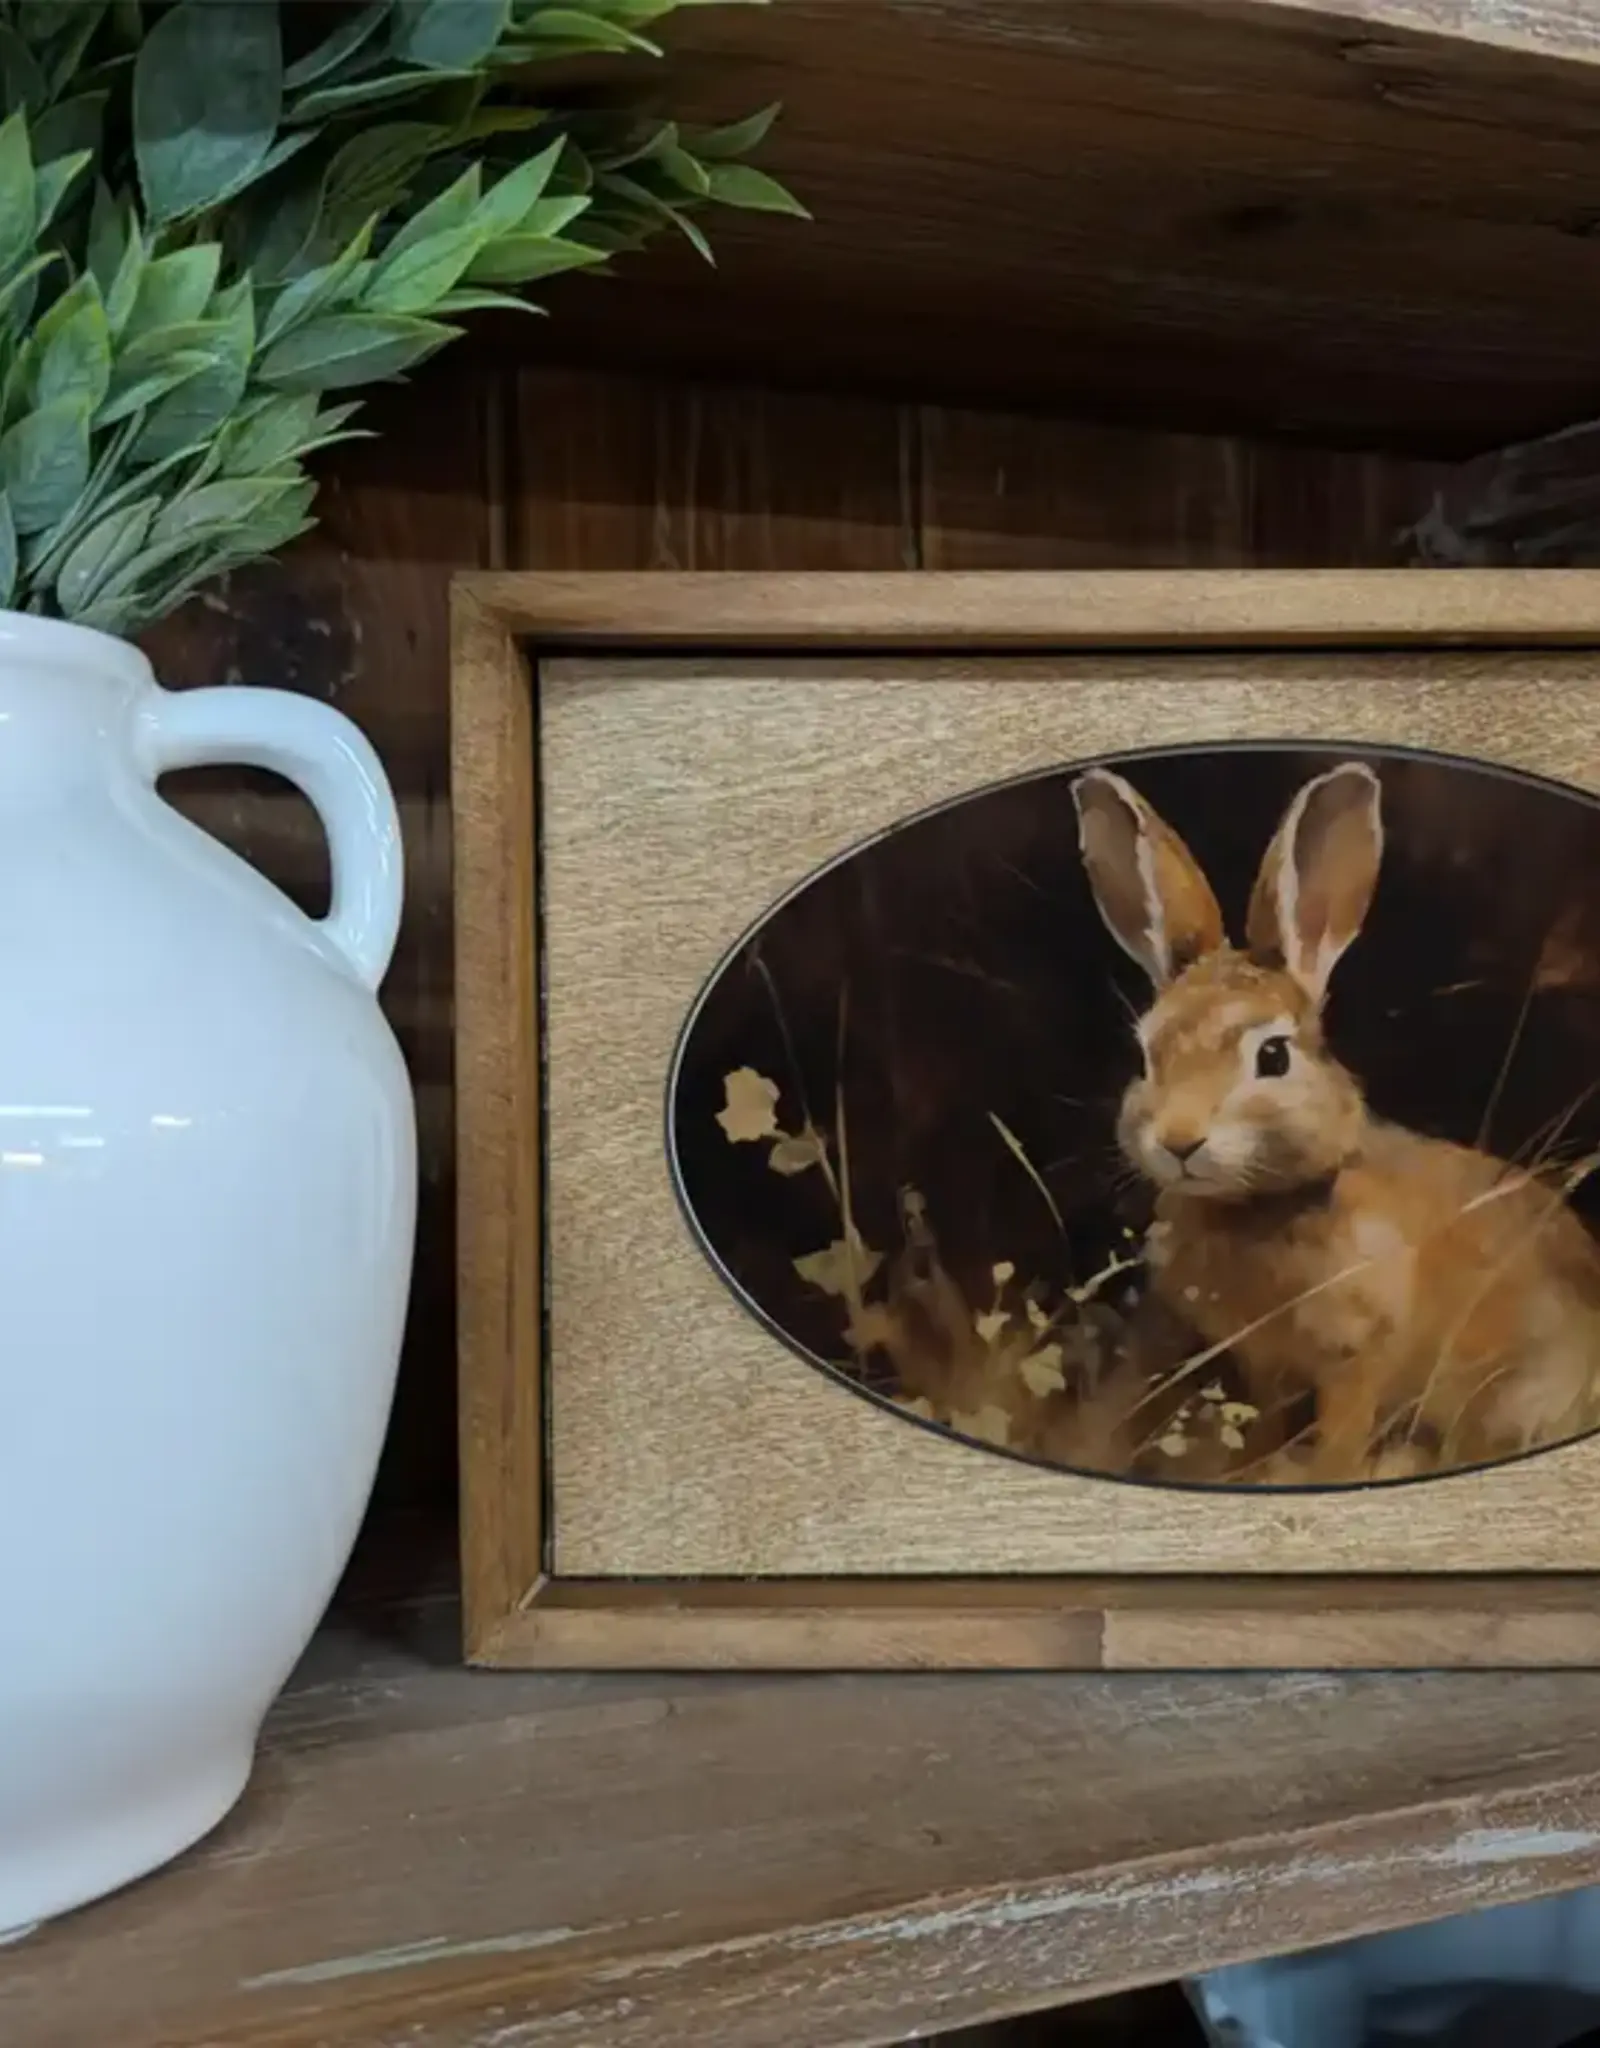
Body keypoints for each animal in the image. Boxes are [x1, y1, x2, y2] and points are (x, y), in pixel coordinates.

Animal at [1070, 757, 1600, 1482]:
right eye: (1147, 1055)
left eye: (1272, 1056)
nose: (1180, 1141)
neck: (1262, 1208)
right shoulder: (1265, 1366)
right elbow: (1264, 1423)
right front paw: (1252, 1472)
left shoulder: (1358, 1361)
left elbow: (1342, 1435)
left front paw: (1324, 1476)